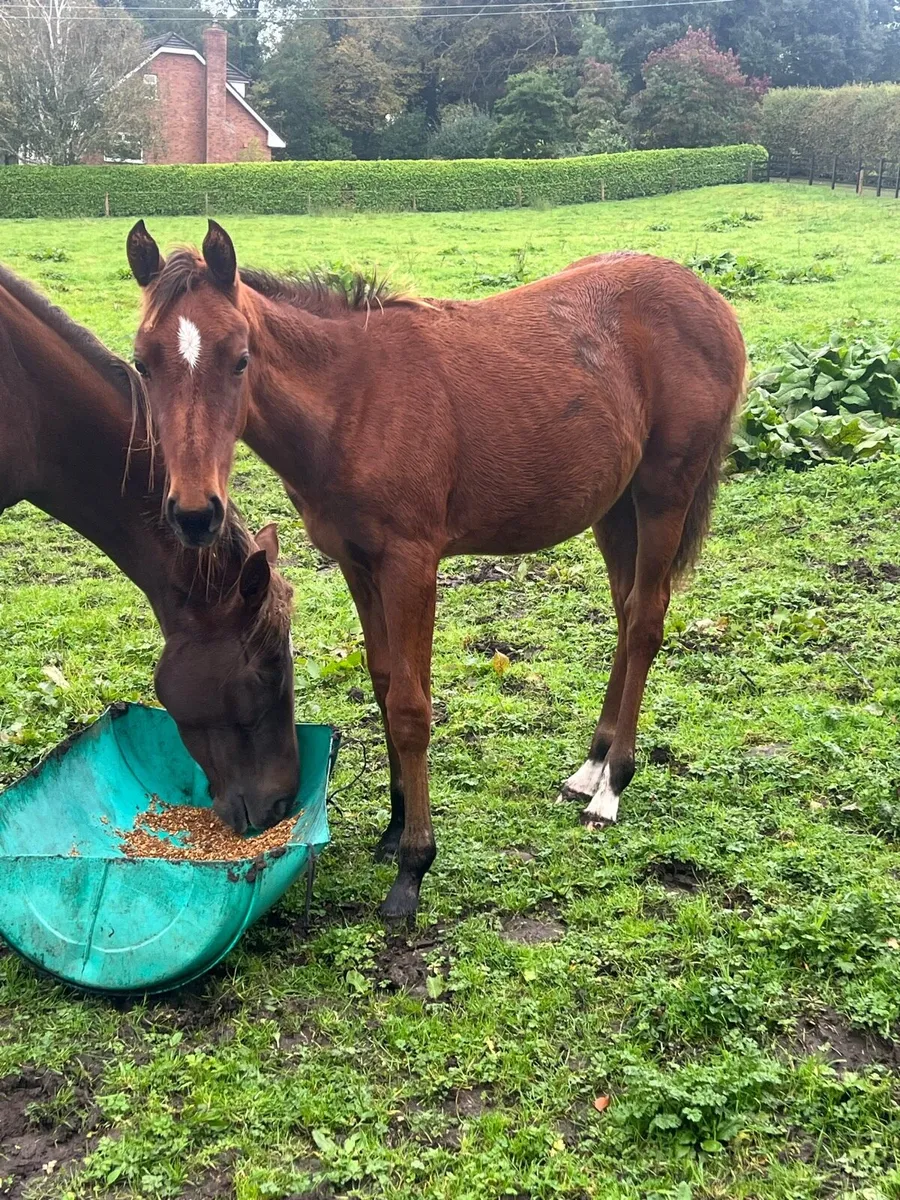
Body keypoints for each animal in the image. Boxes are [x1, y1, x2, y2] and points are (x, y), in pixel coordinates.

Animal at [126, 219, 747, 921]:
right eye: (142, 361)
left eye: (240, 357)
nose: (195, 513)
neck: (353, 403)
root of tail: (710, 299)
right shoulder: (358, 564)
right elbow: (383, 682)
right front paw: (394, 828)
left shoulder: (411, 565)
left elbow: (410, 707)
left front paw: (413, 866)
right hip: (615, 506)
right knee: (625, 610)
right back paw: (589, 768)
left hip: (665, 490)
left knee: (645, 620)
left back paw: (611, 787)